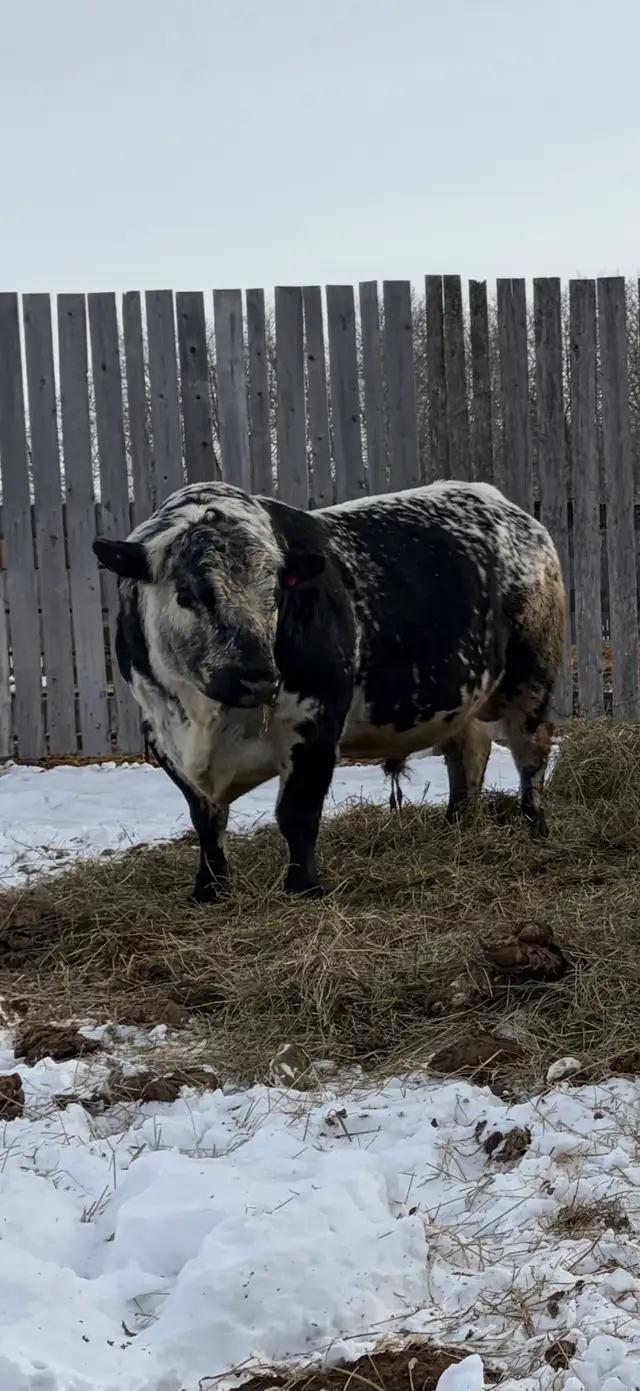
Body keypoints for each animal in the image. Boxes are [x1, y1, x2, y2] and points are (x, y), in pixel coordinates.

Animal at [92, 480, 565, 905]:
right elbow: (206, 822)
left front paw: (303, 887)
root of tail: (503, 505)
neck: (206, 717)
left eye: (275, 592)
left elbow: (297, 813)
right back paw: (457, 826)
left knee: (531, 750)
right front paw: (209, 890)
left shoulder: (316, 723)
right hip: (461, 698)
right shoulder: (163, 734)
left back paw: (535, 825)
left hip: (531, 676)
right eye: (187, 592)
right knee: (469, 753)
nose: (258, 677)